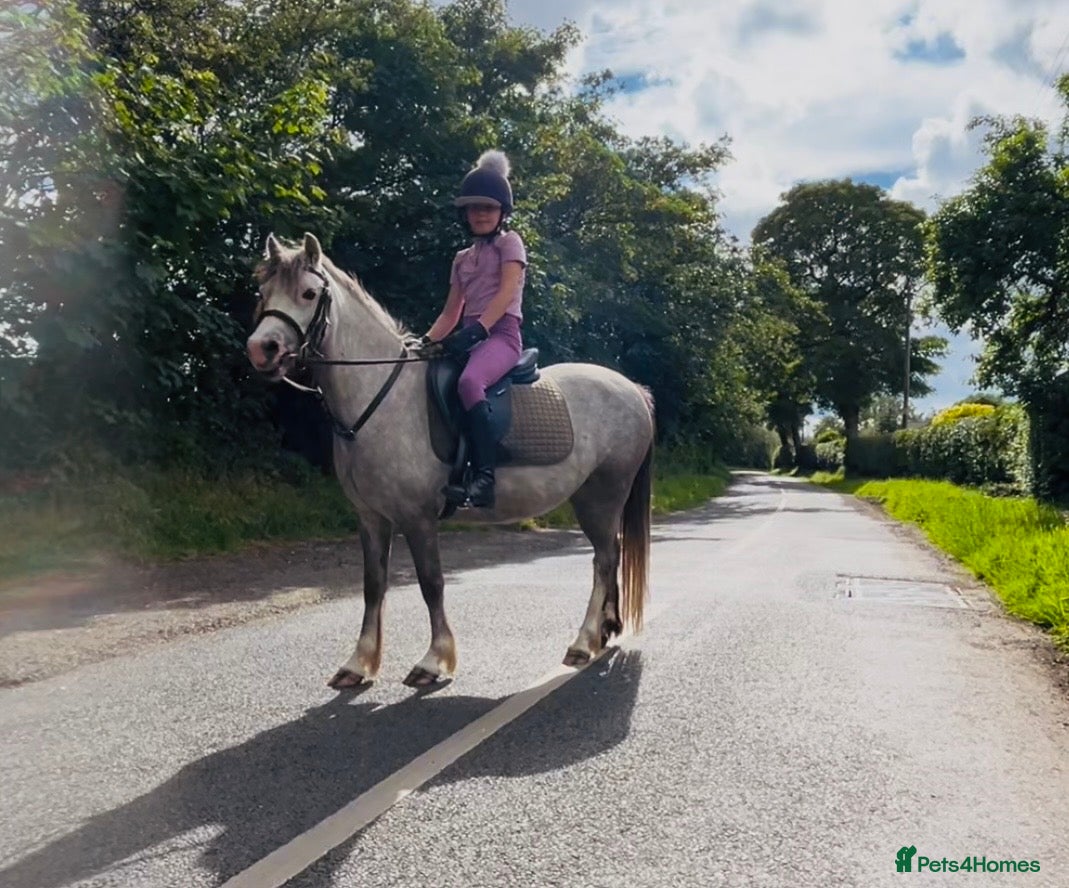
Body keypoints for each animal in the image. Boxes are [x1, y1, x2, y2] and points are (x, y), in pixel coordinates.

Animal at [246, 233, 653, 688]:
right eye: (262, 291)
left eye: (309, 293)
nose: (262, 349)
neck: (380, 397)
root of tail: (632, 389)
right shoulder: (370, 517)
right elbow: (373, 585)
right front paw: (358, 663)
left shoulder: (417, 517)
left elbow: (431, 583)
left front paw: (433, 661)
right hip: (592, 497)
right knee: (610, 555)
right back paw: (605, 630)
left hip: (603, 495)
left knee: (604, 559)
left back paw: (584, 642)